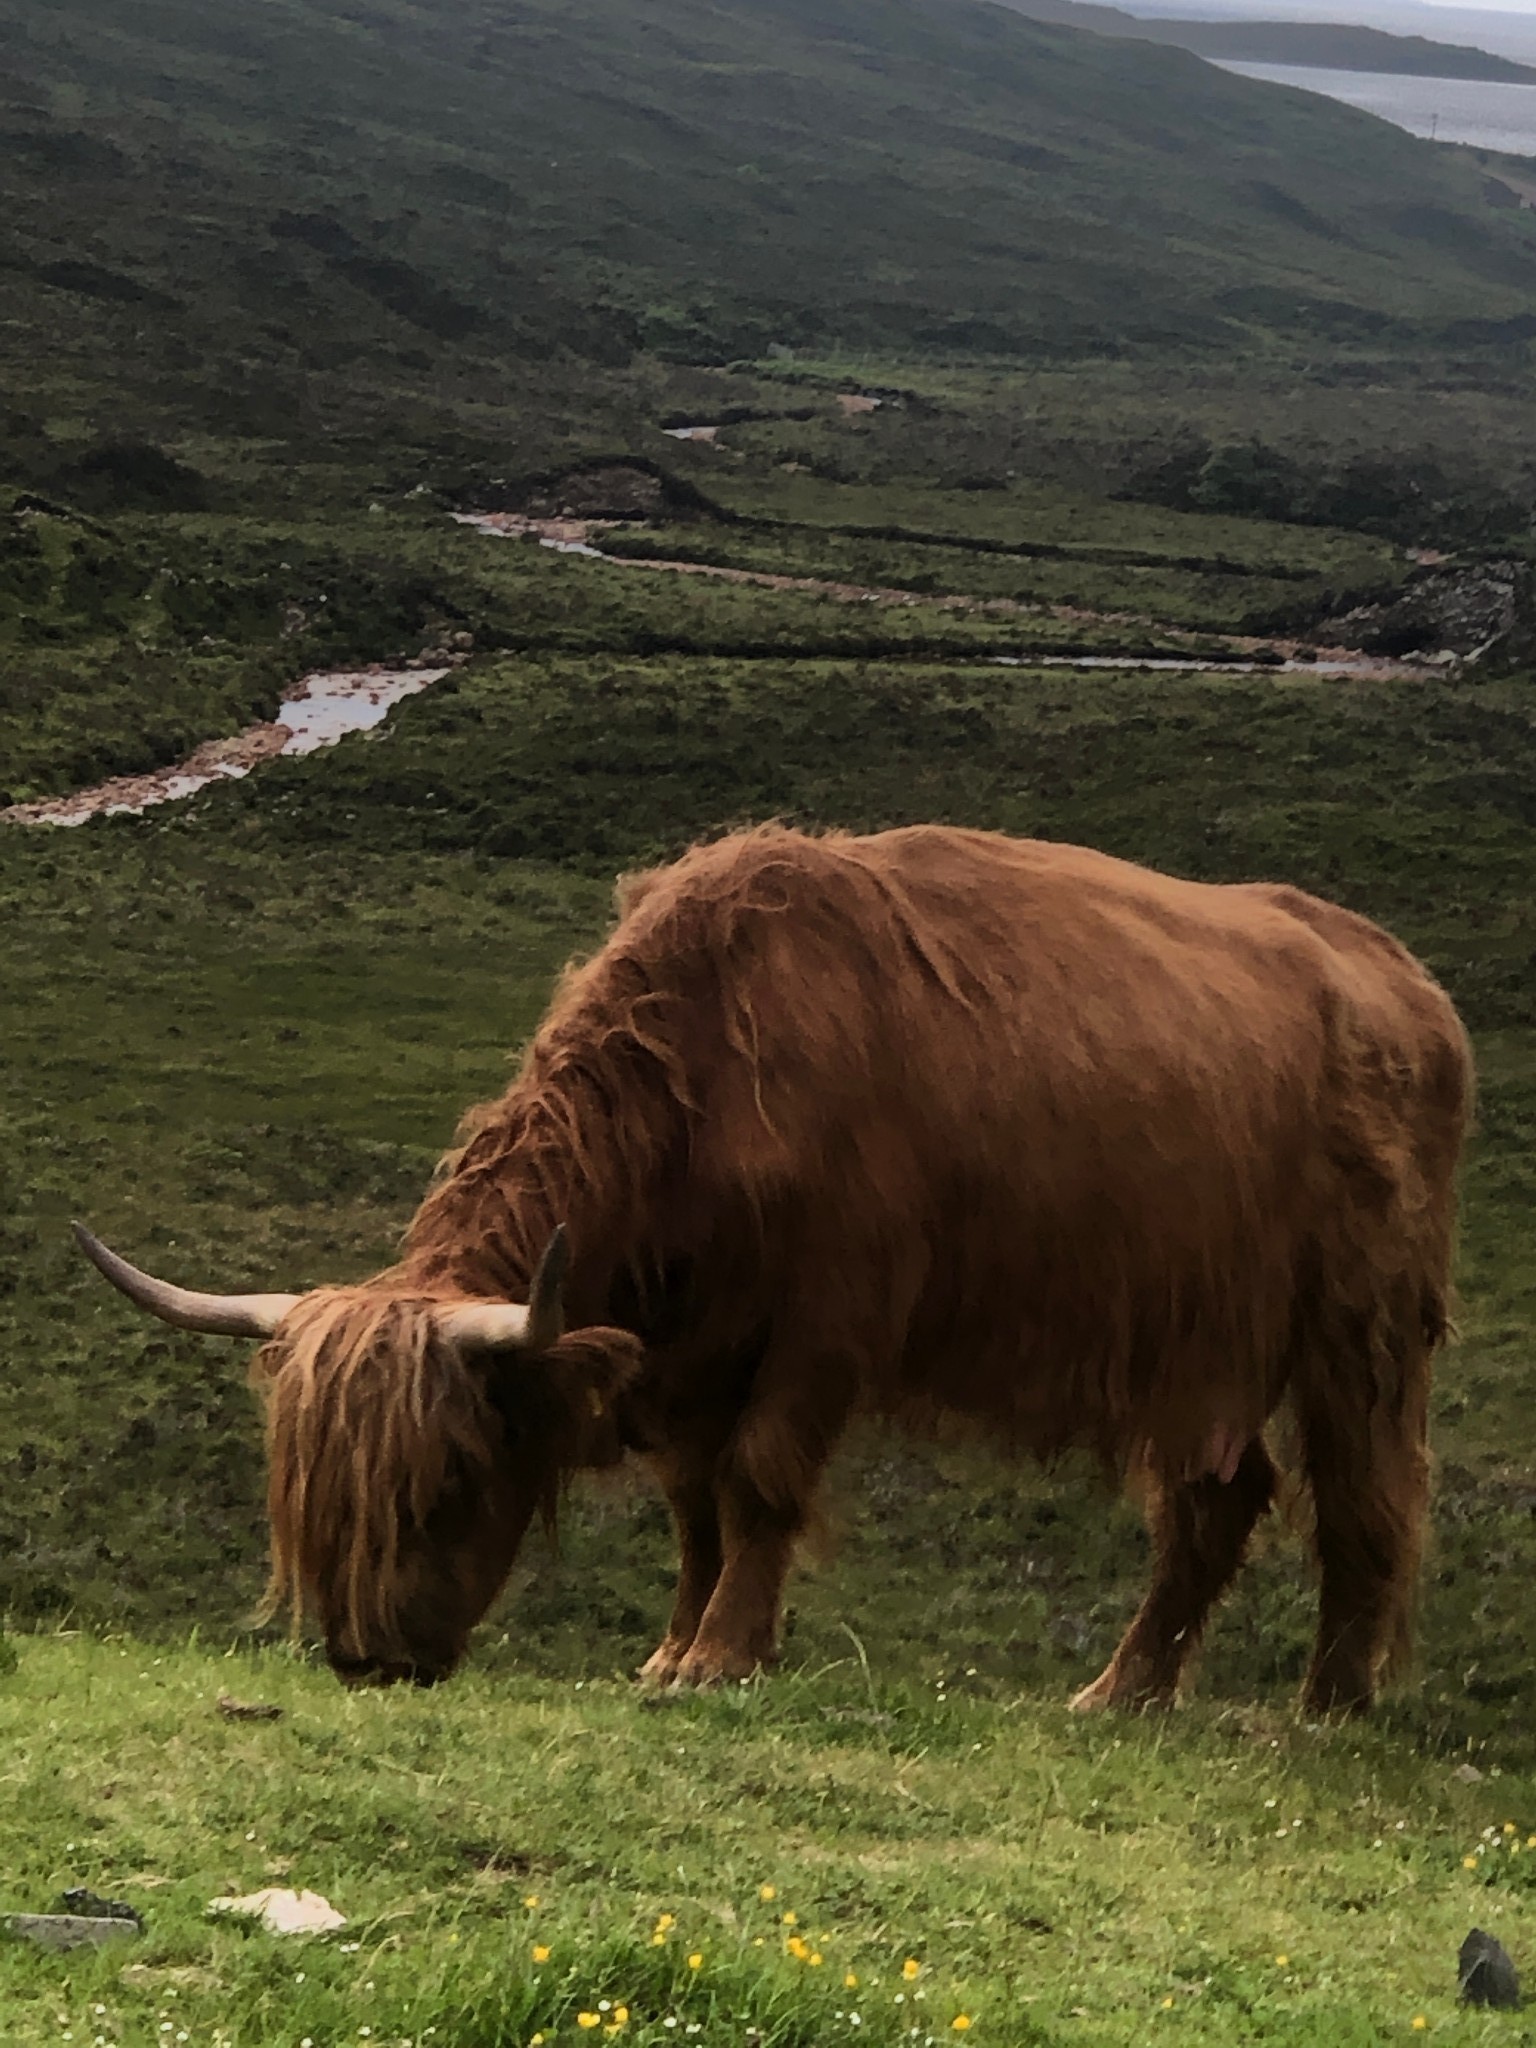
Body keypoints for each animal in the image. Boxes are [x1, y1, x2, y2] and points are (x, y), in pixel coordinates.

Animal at [75, 823, 1482, 1703]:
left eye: (452, 1473)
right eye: (308, 1503)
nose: (365, 1654)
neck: (702, 1085)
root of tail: (1404, 979)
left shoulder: (826, 1320)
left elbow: (757, 1483)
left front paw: (723, 1659)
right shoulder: (689, 1347)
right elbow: (696, 1508)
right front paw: (671, 1651)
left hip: (1358, 1322)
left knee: (1363, 1498)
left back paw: (1325, 1704)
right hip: (1200, 1337)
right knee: (1213, 1497)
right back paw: (1118, 1692)